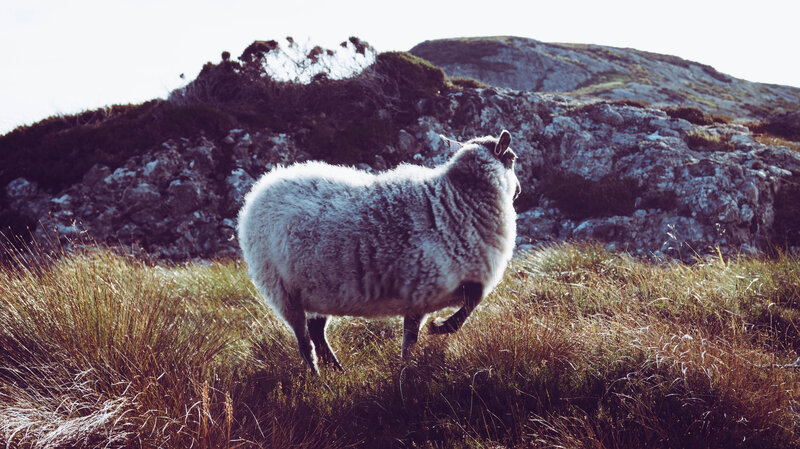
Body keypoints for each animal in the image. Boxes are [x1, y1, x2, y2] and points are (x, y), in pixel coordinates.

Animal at [237, 130, 519, 374]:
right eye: (513, 158)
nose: (518, 191)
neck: (456, 200)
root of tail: (260, 188)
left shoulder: (423, 291)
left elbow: (411, 337)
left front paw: (407, 367)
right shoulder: (432, 281)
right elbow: (473, 300)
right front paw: (440, 328)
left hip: (317, 289)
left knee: (316, 331)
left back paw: (338, 371)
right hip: (282, 290)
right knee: (304, 342)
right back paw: (317, 377)